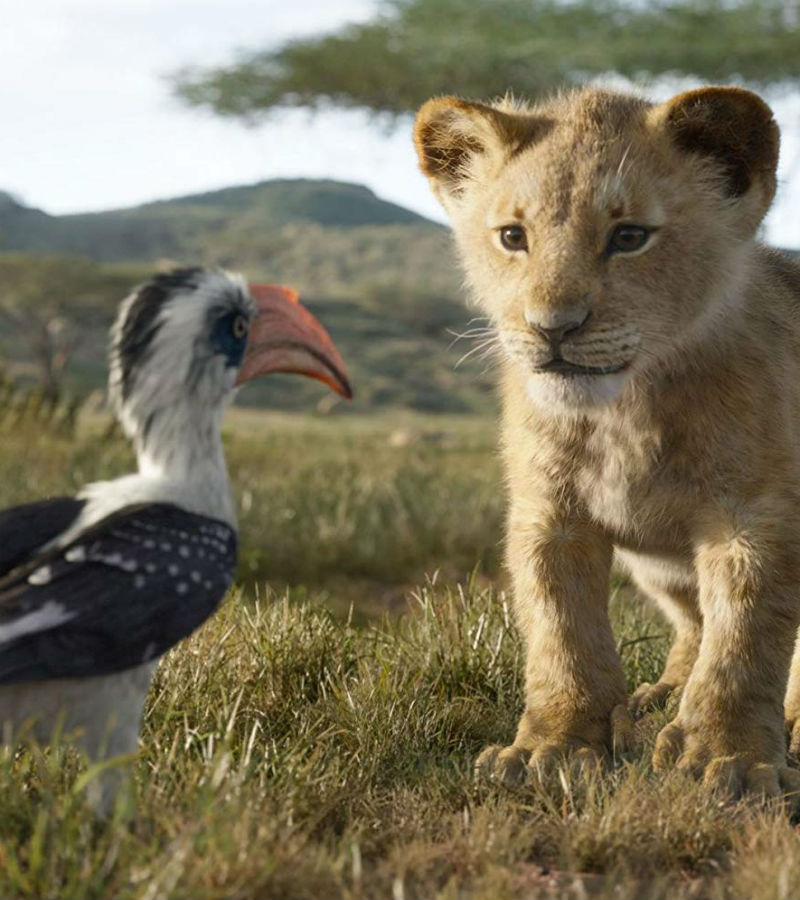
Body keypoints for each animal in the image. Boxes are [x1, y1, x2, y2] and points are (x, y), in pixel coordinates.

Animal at [413, 84, 800, 799]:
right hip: (656, 567)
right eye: (513, 237)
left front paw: (729, 758)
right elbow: (563, 635)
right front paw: (552, 748)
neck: (624, 411)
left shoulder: (755, 517)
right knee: (690, 621)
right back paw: (661, 695)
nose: (552, 328)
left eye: (629, 237)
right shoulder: (549, 515)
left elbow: (745, 640)